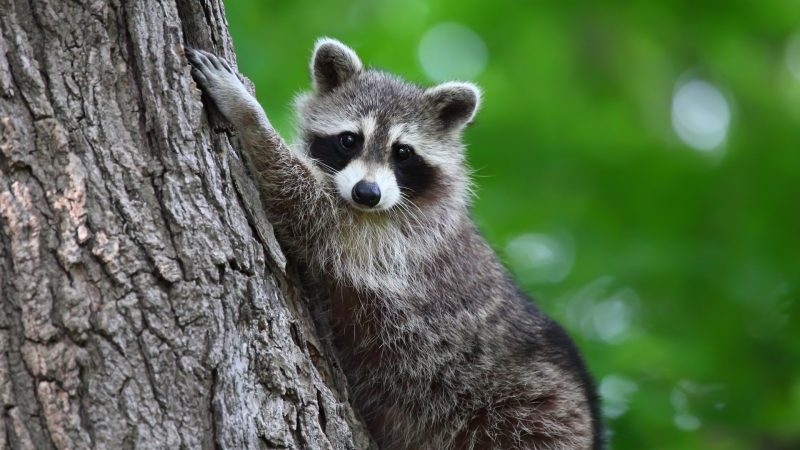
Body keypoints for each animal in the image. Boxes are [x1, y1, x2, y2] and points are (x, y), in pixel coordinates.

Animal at [188, 39, 600, 450]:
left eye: (403, 152)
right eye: (349, 140)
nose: (367, 193)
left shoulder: (397, 240)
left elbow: (305, 204)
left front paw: (248, 113)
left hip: (527, 419)